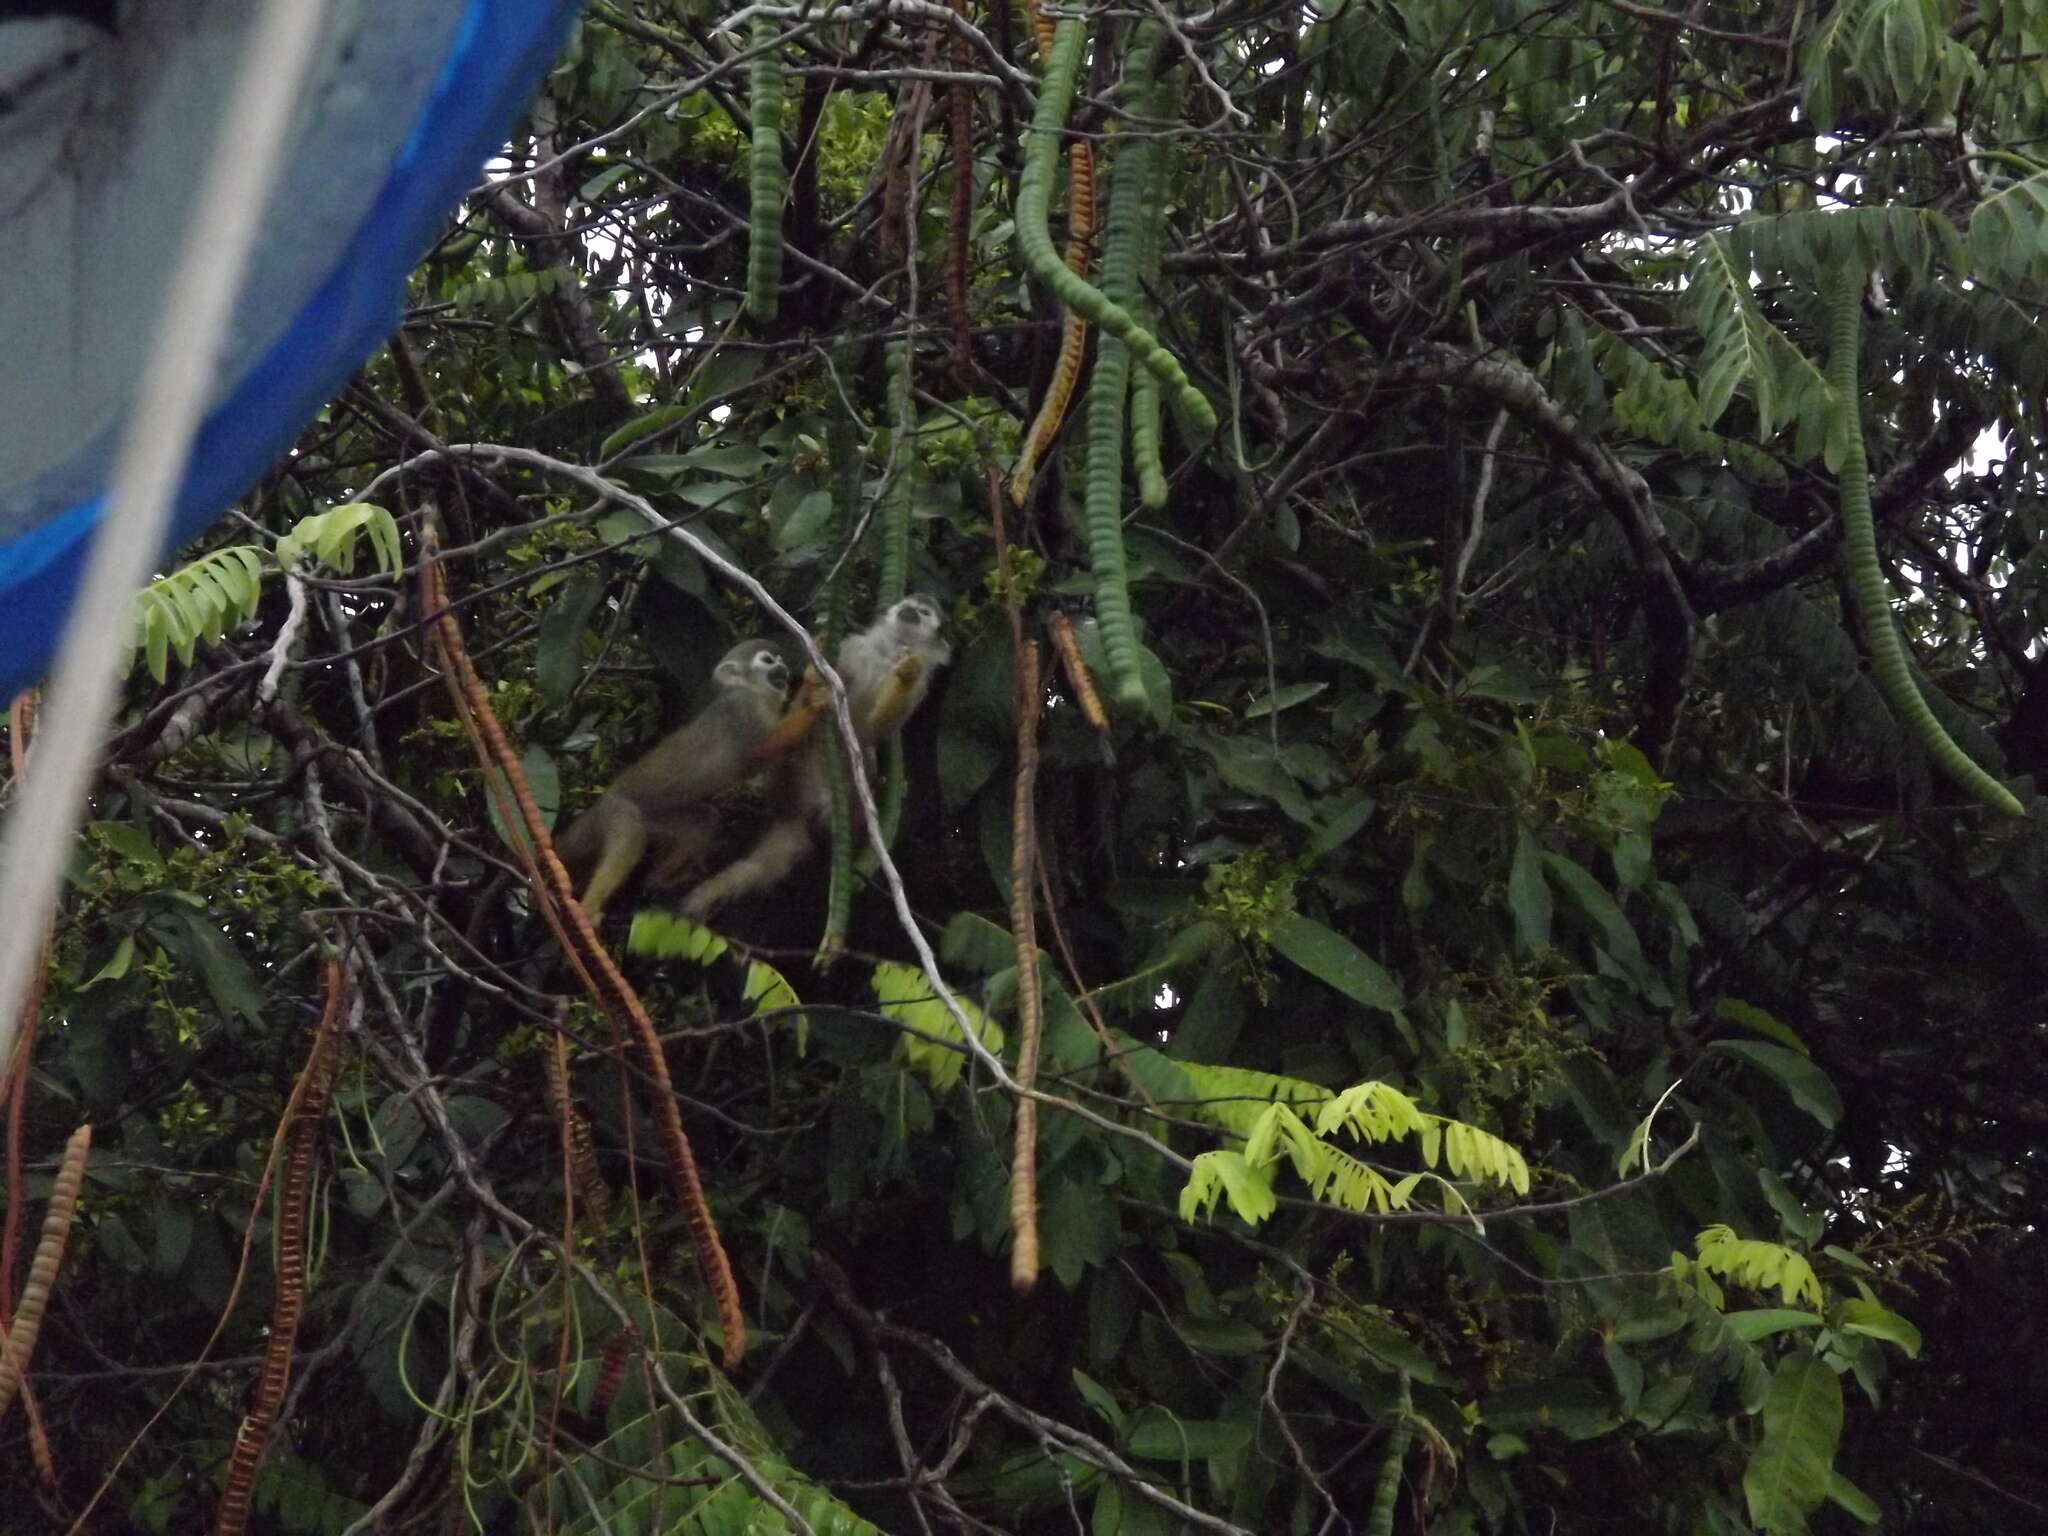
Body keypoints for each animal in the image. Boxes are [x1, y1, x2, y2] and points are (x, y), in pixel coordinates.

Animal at [561, 638, 815, 925]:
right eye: (768, 660)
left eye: (780, 659)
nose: (783, 668)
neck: (755, 694)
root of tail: (600, 801)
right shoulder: (741, 711)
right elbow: (765, 750)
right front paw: (818, 696)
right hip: (617, 809)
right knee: (630, 839)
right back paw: (588, 909)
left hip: (658, 814)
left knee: (703, 822)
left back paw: (659, 879)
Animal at [679, 598, 950, 913]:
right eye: (910, 604)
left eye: (924, 612)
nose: (911, 609)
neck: (889, 649)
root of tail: (794, 813)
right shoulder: (852, 646)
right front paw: (812, 676)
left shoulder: (923, 683)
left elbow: (876, 730)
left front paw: (906, 675)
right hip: (790, 780)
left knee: (866, 756)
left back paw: (850, 813)